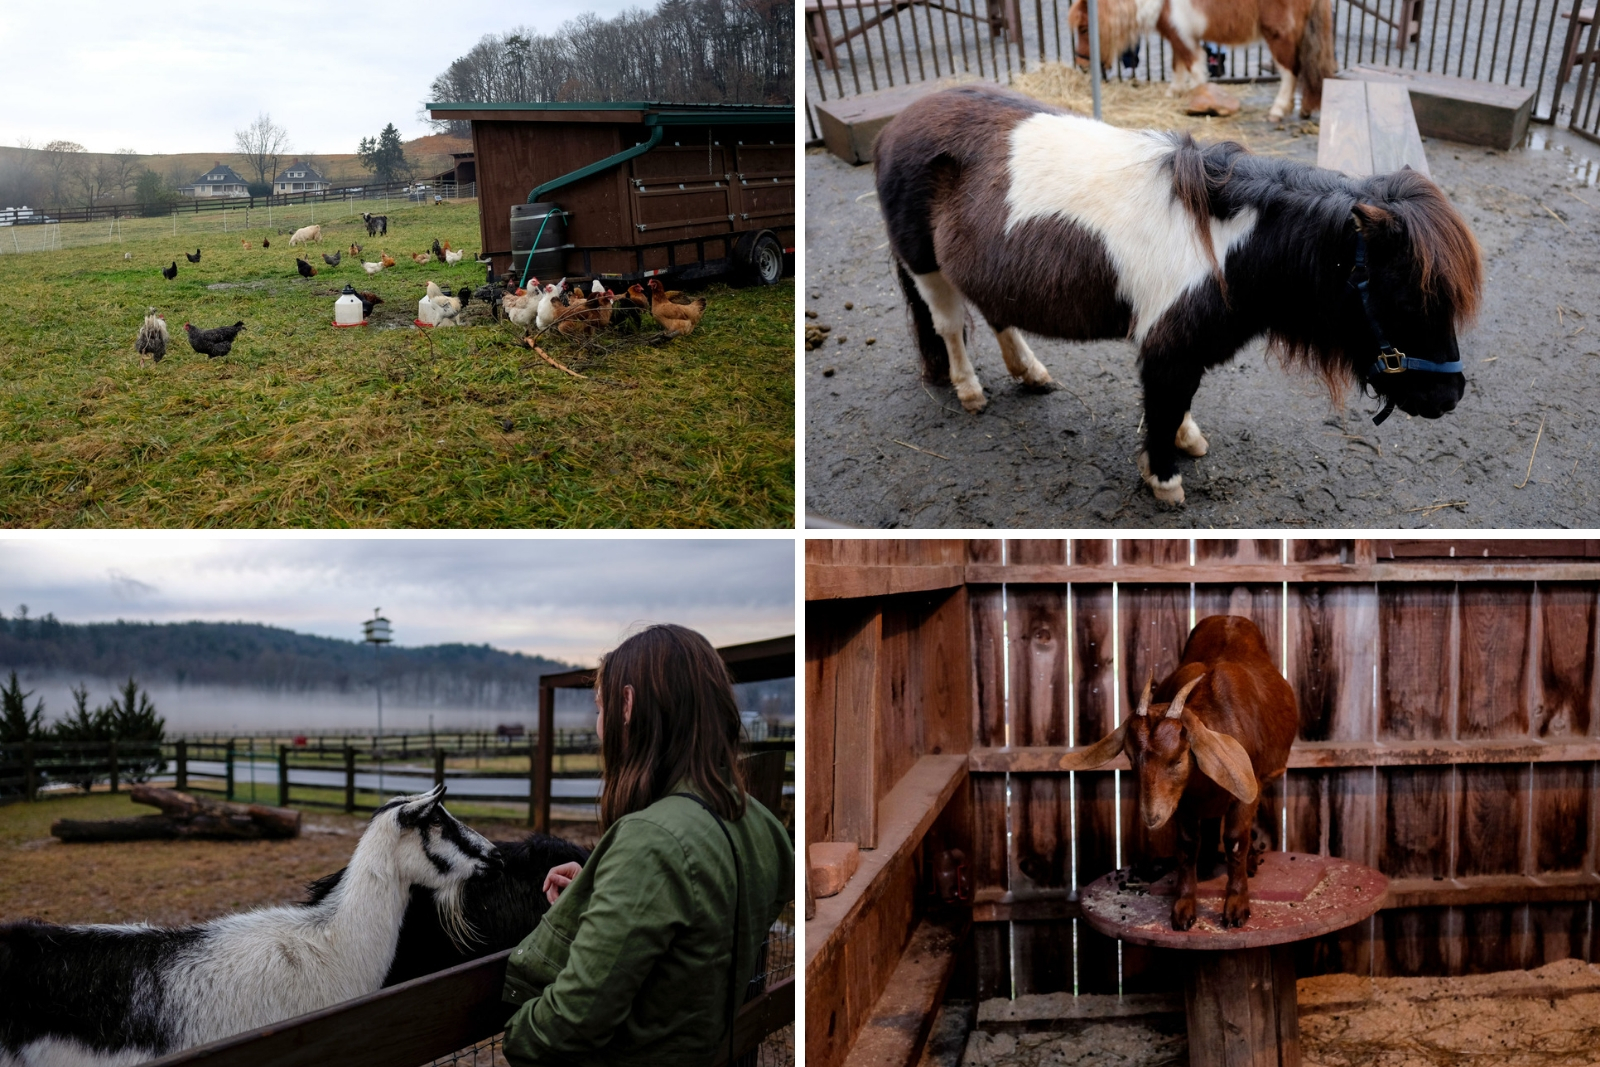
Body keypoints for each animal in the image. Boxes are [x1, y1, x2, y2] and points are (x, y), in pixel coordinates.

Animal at [876, 86, 1484, 505]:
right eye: (1407, 296)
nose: (1448, 397)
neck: (1225, 246)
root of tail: (899, 124)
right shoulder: (1168, 346)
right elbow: (1166, 400)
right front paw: (1164, 478)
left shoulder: (1185, 345)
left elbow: (1180, 400)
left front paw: (1184, 443)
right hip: (926, 266)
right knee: (949, 326)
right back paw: (970, 391)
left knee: (998, 314)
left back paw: (1031, 373)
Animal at [1062, 614, 1299, 927]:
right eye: (1130, 757)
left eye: (1176, 760)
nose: (1152, 817)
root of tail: (1229, 617)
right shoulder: (1183, 800)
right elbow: (1187, 846)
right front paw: (1183, 908)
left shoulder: (1246, 791)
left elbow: (1236, 840)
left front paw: (1236, 906)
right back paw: (1208, 863)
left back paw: (1246, 864)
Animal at [1075, 0, 1337, 119]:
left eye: (1084, 28)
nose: (1082, 64)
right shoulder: (1178, 35)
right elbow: (1177, 65)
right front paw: (1174, 92)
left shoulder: (1184, 36)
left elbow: (1195, 69)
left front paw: (1200, 100)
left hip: (1280, 36)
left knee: (1290, 71)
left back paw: (1278, 110)